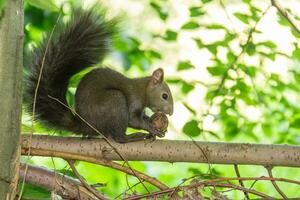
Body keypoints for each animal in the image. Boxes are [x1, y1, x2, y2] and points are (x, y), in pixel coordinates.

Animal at [24, 7, 175, 142]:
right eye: (164, 96)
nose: (171, 112)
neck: (142, 89)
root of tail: (86, 126)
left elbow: (141, 117)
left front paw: (151, 121)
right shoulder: (134, 99)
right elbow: (133, 121)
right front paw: (151, 128)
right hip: (114, 101)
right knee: (119, 138)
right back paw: (132, 137)